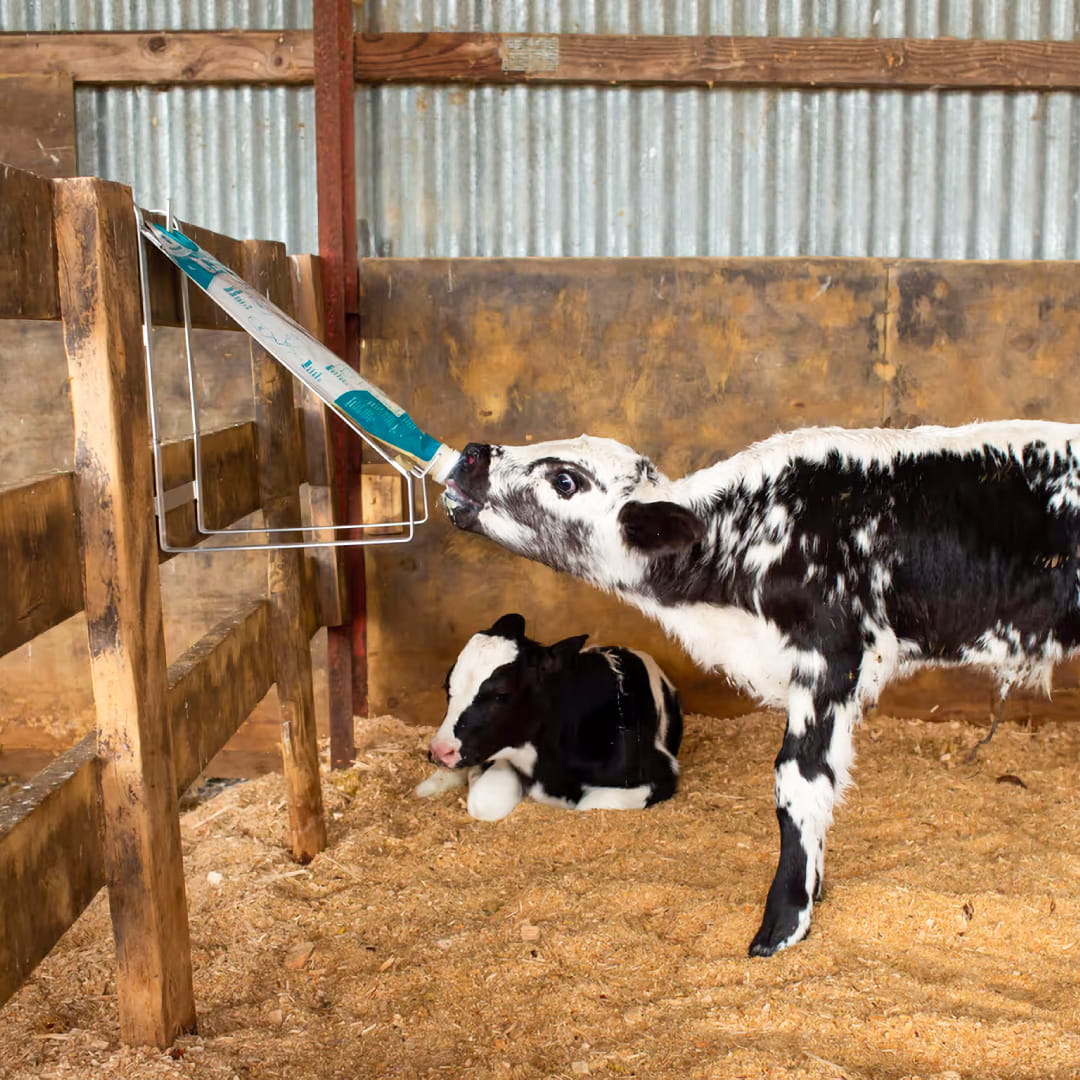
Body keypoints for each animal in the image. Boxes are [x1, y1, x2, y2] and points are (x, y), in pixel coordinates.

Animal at [415, 613, 683, 821]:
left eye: (501, 695)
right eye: (447, 685)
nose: (440, 750)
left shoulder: (659, 773)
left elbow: (588, 805)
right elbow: (484, 803)